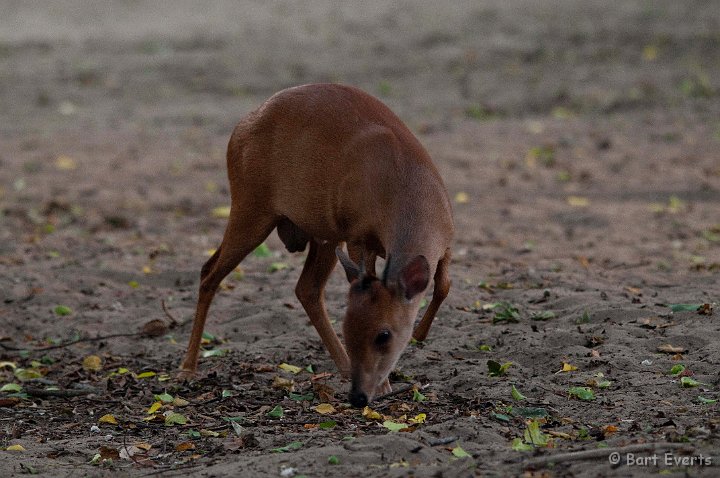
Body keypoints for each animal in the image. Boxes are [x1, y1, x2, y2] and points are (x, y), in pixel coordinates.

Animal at [181, 84, 450, 406]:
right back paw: (187, 368)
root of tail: (240, 128)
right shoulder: (357, 236)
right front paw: (385, 383)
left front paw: (420, 334)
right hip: (251, 207)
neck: (410, 194)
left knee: (304, 288)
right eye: (348, 328)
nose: (358, 397)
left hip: (322, 232)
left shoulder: (445, 243)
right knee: (209, 274)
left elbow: (443, 286)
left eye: (383, 335)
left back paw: (344, 367)